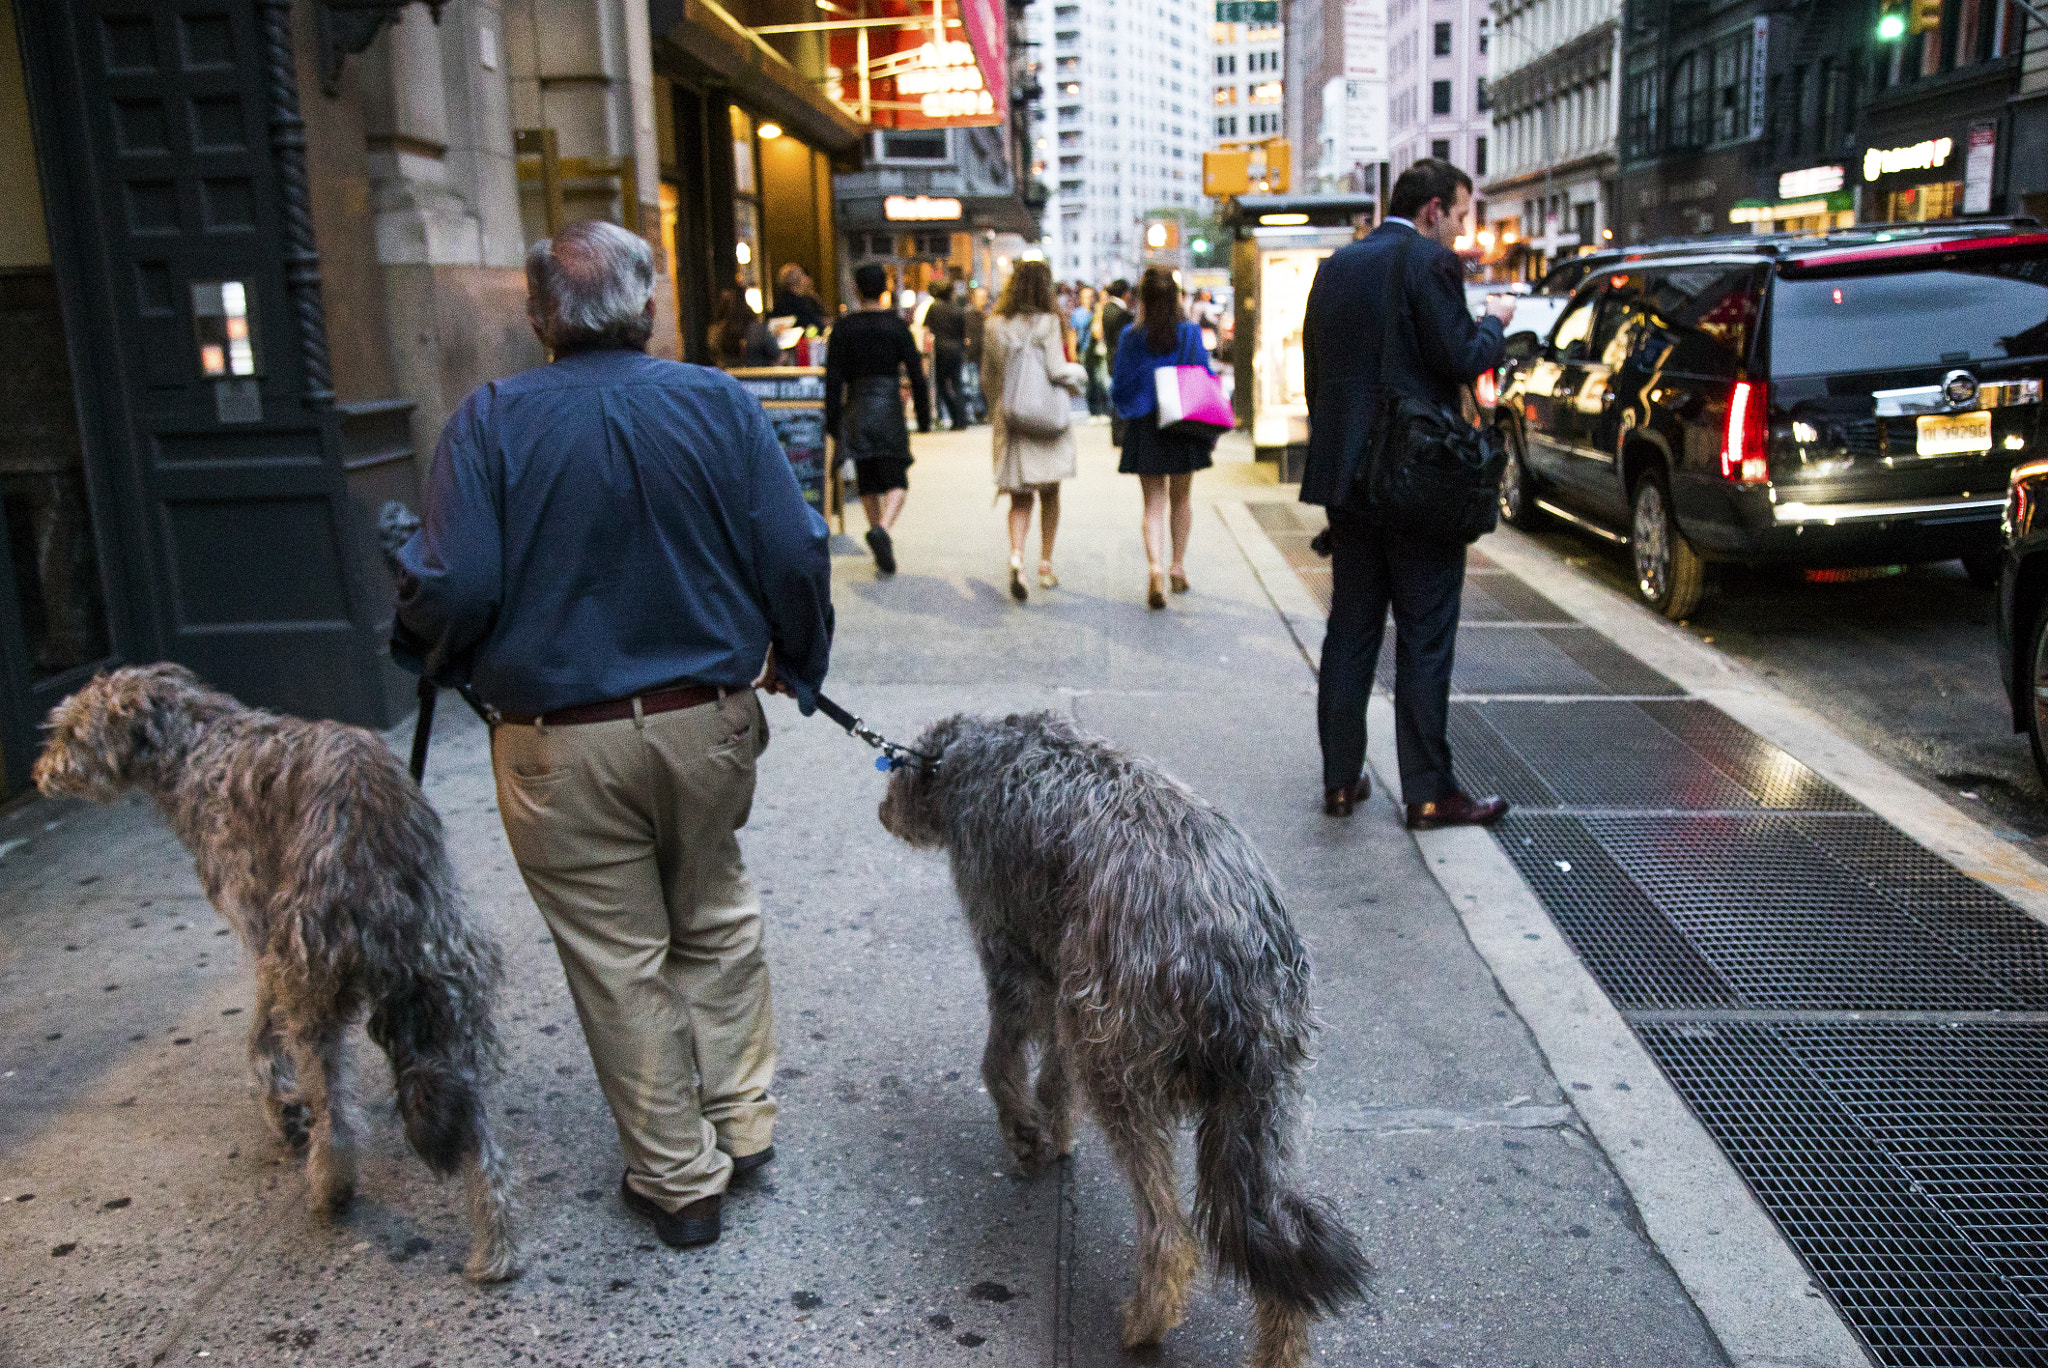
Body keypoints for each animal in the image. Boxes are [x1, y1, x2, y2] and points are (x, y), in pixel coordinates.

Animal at [34, 663, 520, 1286]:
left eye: (70, 731)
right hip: (445, 982)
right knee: (477, 1131)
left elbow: (260, 1041)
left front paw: (282, 1107)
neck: (195, 745)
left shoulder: (264, 936)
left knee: (336, 1108)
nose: (39, 774)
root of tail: (372, 827)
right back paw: (496, 1249)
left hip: (315, 977)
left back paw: (330, 1184)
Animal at [876, 712, 1359, 1359]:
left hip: (1121, 1057)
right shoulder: (1064, 979)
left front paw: (1023, 1130)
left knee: (1169, 1231)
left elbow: (999, 1061)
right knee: (1274, 1241)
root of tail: (1232, 949)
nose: (883, 811)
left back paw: (1145, 1320)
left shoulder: (1011, 951)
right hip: (1264, 1101)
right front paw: (1053, 1128)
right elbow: (1054, 1073)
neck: (974, 754)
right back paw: (1279, 1348)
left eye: (896, 770)